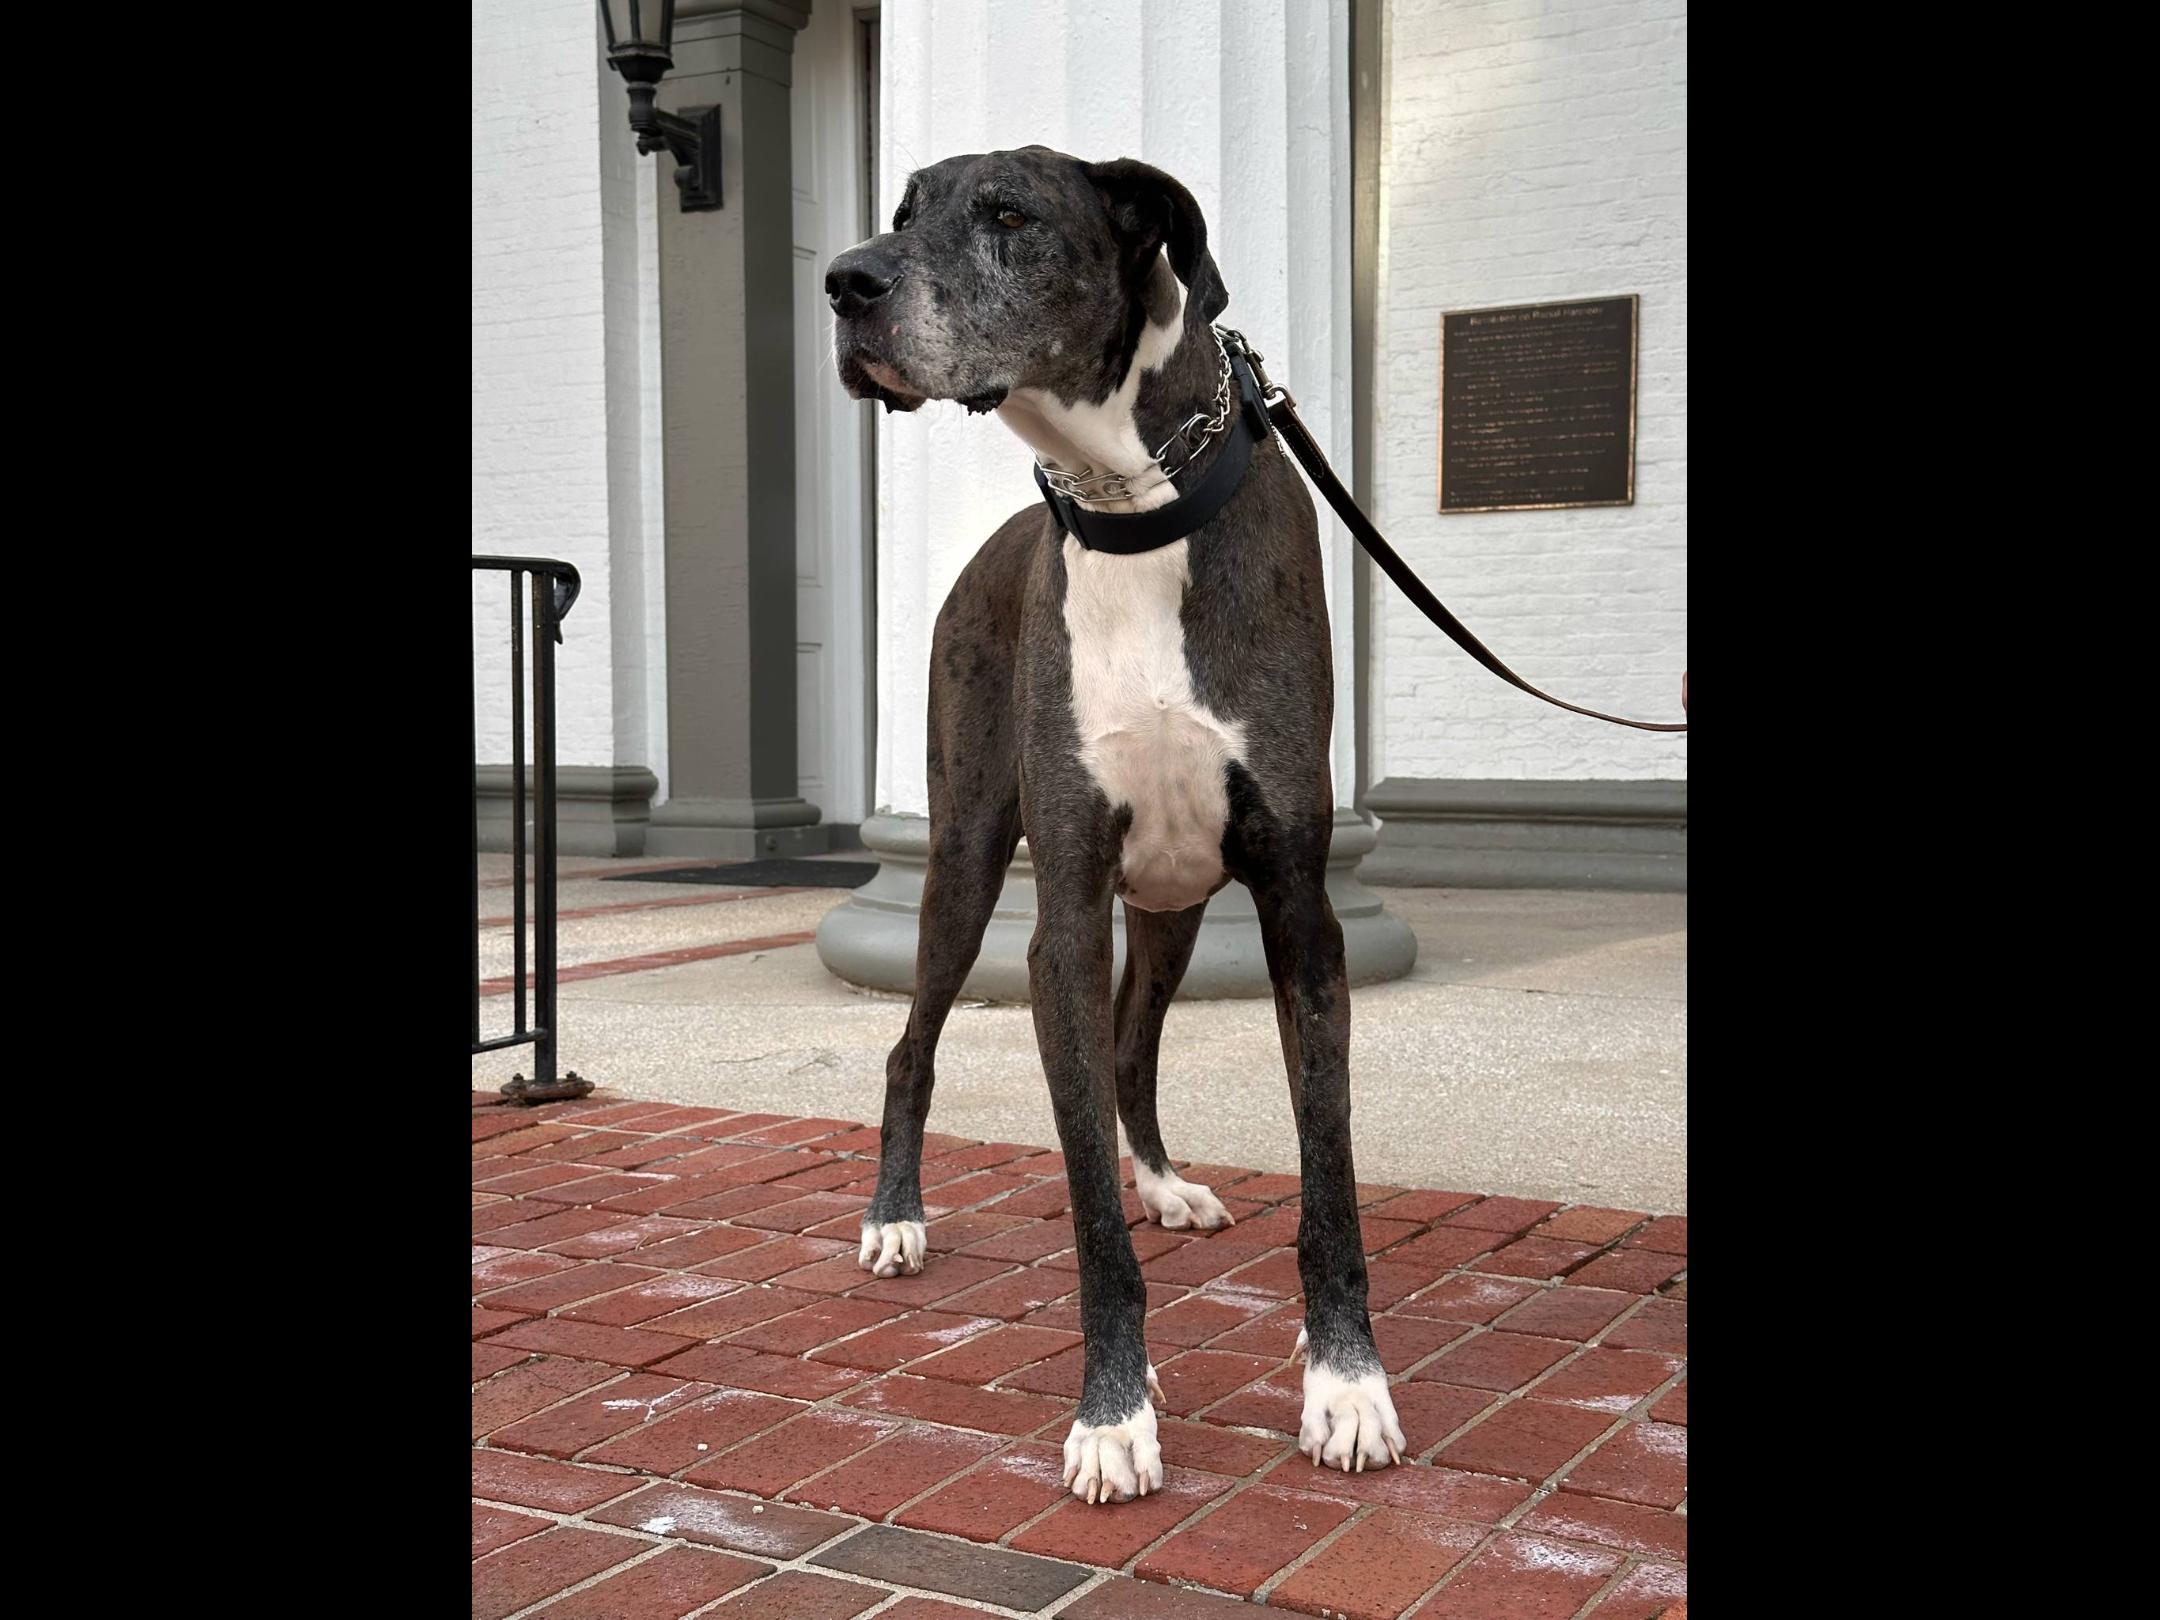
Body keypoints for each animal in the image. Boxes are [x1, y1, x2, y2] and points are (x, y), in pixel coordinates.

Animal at [825, 145, 1405, 1502]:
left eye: (1007, 214)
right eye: (902, 208)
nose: (845, 282)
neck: (1132, 502)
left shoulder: (1299, 906)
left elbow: (1331, 1181)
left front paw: (1346, 1385)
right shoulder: (1068, 920)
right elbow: (1086, 1205)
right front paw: (1113, 1413)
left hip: (1182, 901)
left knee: (1137, 1052)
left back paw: (1168, 1185)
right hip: (961, 858)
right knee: (913, 1046)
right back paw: (895, 1218)